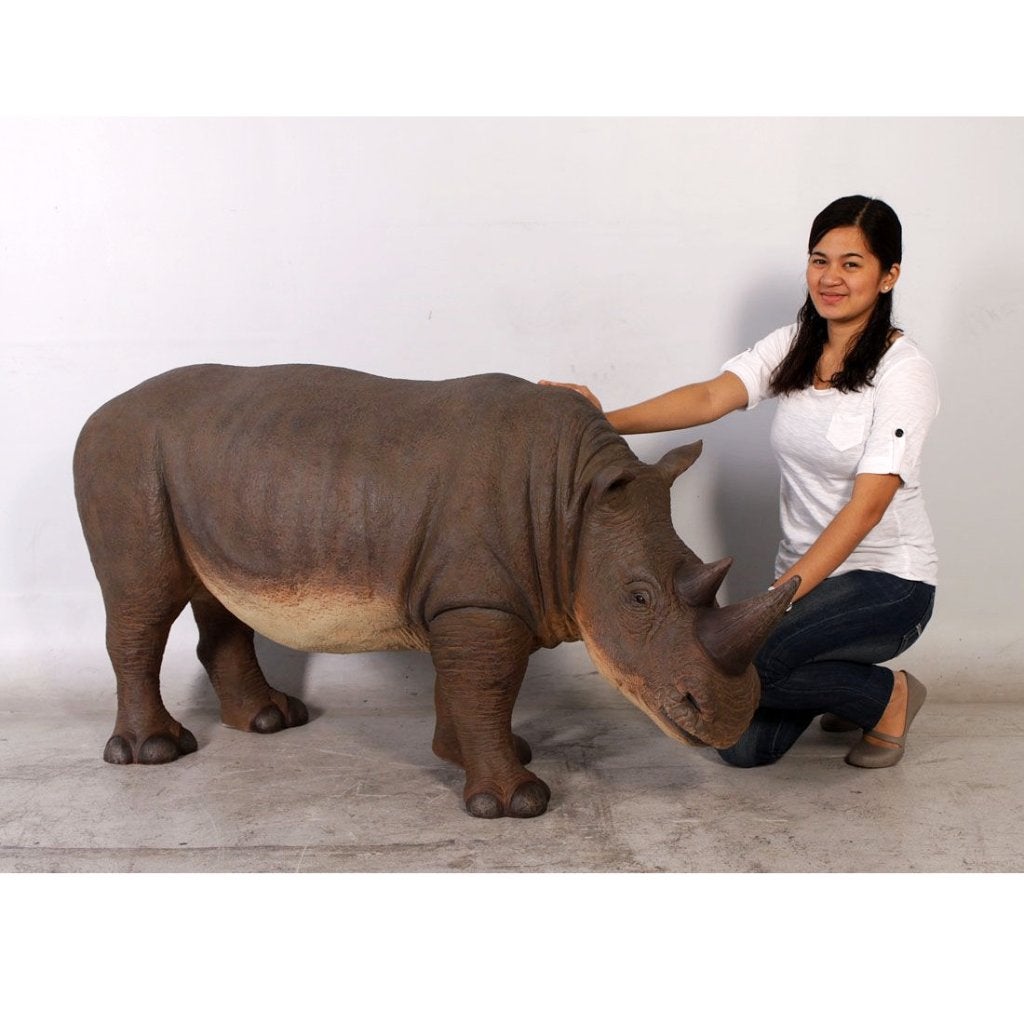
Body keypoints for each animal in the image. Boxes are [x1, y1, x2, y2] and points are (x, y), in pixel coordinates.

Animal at [73, 365, 797, 818]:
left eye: (699, 567)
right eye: (639, 598)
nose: (733, 713)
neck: (570, 506)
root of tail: (97, 411)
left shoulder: (472, 596)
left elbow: (469, 684)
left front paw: (466, 756)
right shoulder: (480, 601)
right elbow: (487, 683)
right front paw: (515, 804)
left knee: (218, 599)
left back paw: (270, 722)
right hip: (123, 457)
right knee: (143, 604)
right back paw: (155, 753)